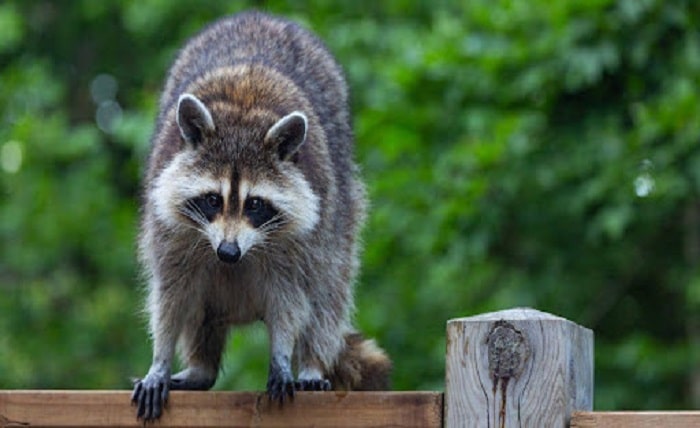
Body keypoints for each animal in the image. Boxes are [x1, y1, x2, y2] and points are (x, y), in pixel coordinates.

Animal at [130, 11, 391, 421]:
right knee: (200, 308)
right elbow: (172, 294)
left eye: (254, 204)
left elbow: (291, 296)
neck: (243, 111)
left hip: (342, 210)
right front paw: (160, 358)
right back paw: (201, 366)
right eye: (212, 200)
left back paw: (312, 362)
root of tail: (261, 16)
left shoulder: (300, 239)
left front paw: (283, 354)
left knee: (328, 288)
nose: (228, 252)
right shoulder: (170, 229)